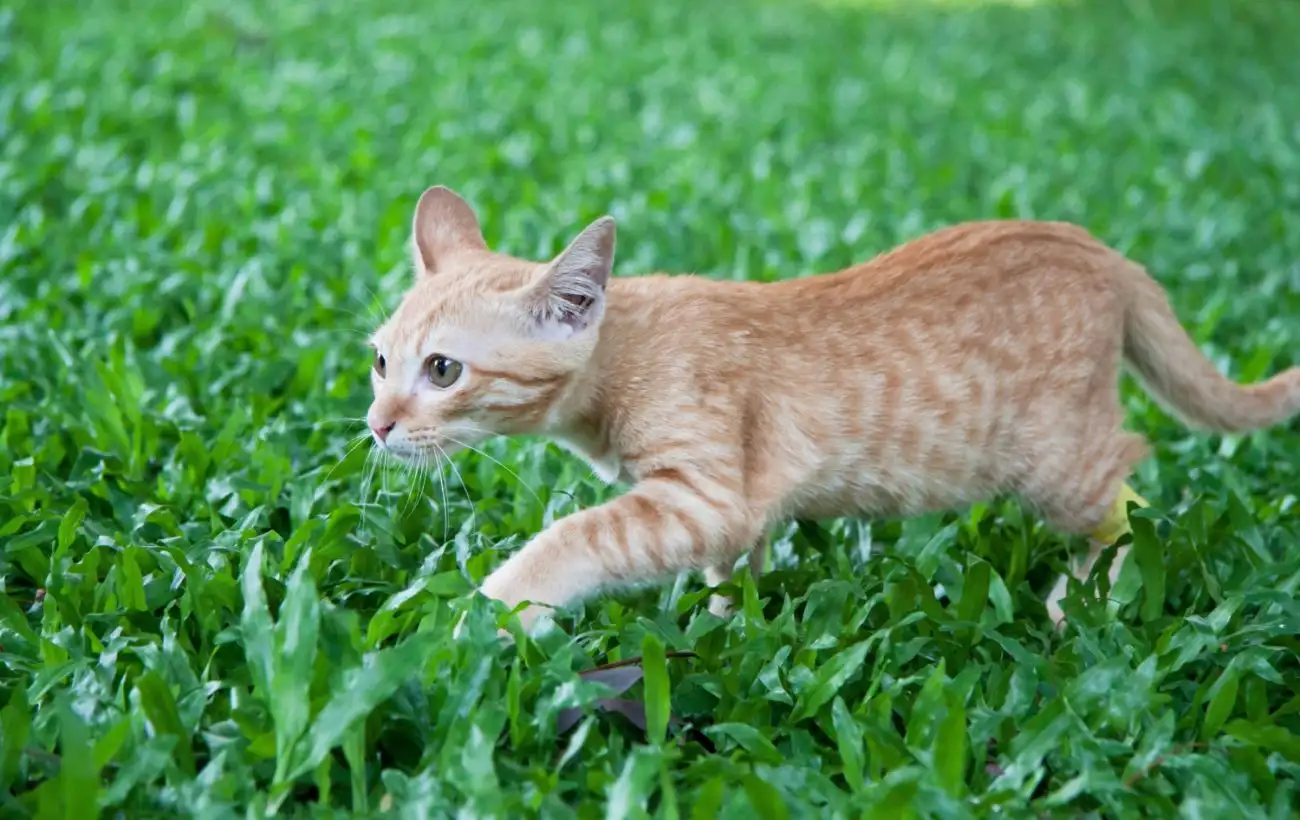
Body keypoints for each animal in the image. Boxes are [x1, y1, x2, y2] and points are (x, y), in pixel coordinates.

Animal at [366, 187, 1300, 634]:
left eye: (443, 370)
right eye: (378, 362)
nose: (376, 425)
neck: (625, 351)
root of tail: (1103, 252)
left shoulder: (704, 494)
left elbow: (574, 537)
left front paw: (493, 612)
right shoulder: (729, 510)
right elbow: (733, 569)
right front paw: (727, 625)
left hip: (1056, 461)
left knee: (1136, 492)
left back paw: (1088, 595)